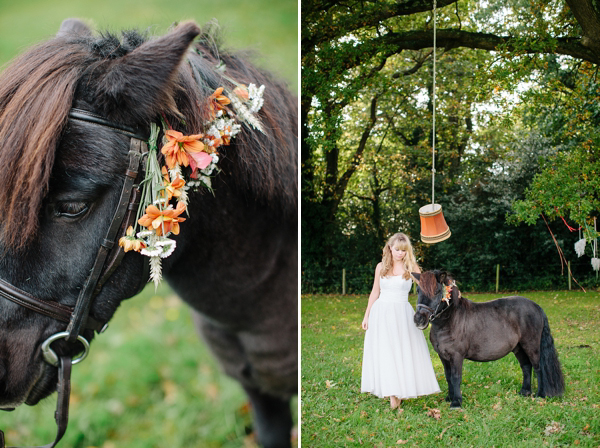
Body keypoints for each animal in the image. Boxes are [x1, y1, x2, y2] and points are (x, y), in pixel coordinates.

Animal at [412, 270, 564, 410]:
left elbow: (456, 377)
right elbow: (448, 376)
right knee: (526, 367)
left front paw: (456, 402)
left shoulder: (456, 356)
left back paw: (540, 395)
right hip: (518, 348)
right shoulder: (443, 356)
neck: (450, 320)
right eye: (418, 290)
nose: (419, 319)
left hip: (531, 346)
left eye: (437, 291)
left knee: (538, 368)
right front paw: (450, 398)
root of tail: (536, 306)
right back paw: (524, 392)